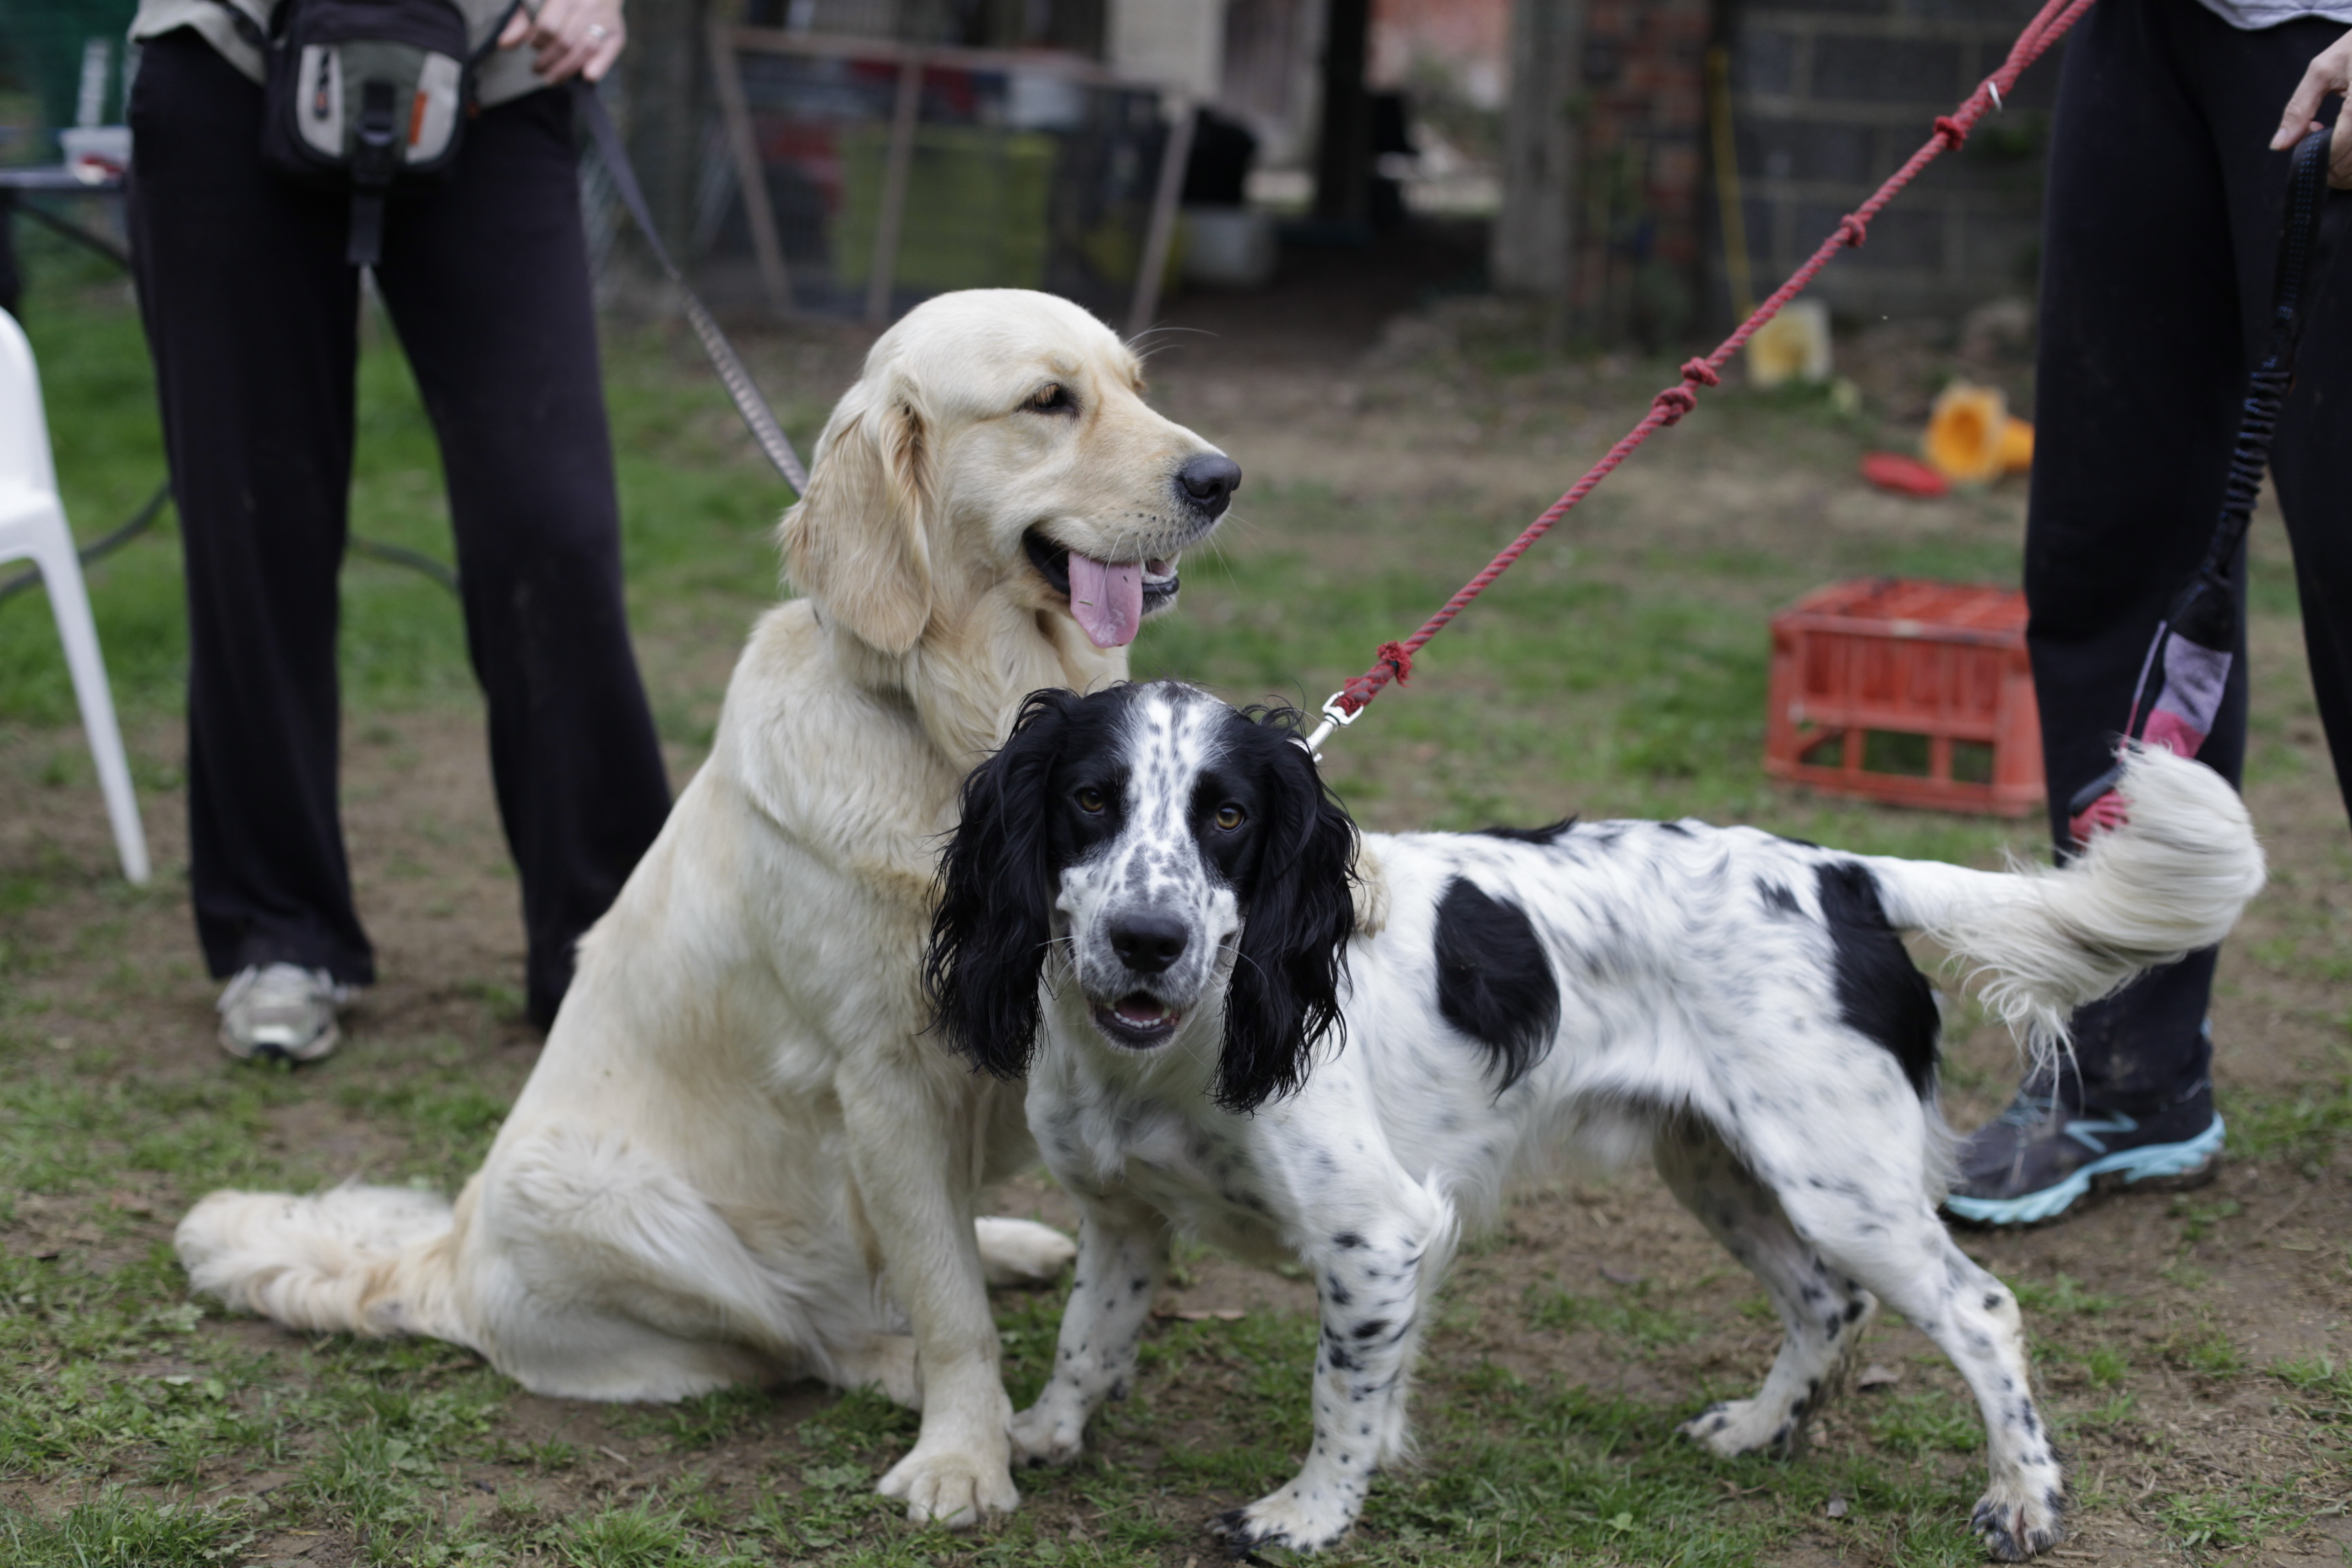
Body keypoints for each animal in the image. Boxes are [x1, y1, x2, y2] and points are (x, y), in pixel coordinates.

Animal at [174, 292, 1239, 1527]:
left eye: (1133, 384)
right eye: (1047, 401)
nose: (1223, 476)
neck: (958, 719)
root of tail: (445, 1260)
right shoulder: (886, 1080)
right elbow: (948, 1309)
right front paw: (963, 1455)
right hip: (612, 1200)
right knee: (805, 1335)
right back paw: (891, 1360)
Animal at [925, 680, 2265, 1560]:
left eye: (1229, 816)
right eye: (1090, 798)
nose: (1146, 939)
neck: (1175, 1046)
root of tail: (1841, 873)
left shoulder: (1380, 1235)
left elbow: (1340, 1395)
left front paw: (1306, 1515)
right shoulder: (1121, 1218)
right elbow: (1088, 1340)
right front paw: (1034, 1437)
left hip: (1841, 1183)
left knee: (1980, 1308)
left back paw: (2025, 1496)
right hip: (1722, 1168)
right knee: (1830, 1302)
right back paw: (1761, 1427)